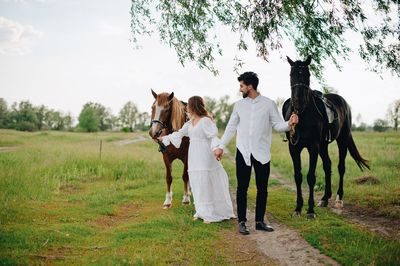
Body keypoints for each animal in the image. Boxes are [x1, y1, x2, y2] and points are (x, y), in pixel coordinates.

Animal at [282, 55, 368, 218]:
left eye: (308, 75)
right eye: (291, 75)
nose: (298, 101)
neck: (303, 115)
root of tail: (342, 101)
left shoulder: (313, 146)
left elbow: (311, 177)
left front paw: (310, 211)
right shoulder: (293, 147)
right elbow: (298, 176)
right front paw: (298, 208)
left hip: (341, 140)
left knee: (341, 167)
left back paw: (339, 199)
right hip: (323, 145)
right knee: (328, 165)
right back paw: (324, 198)